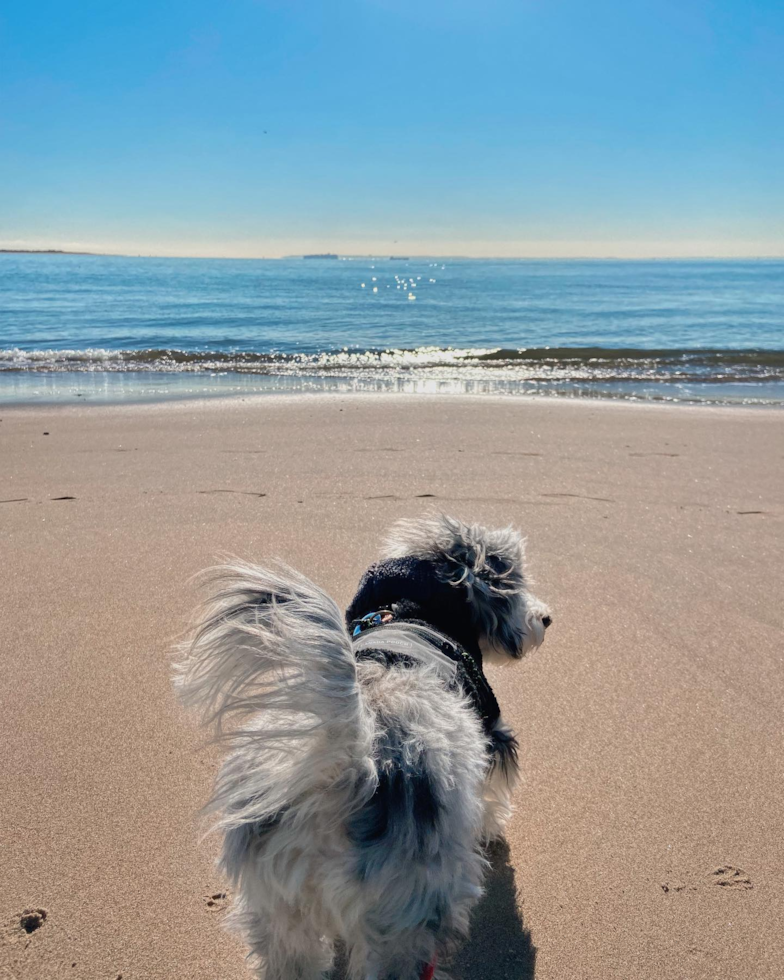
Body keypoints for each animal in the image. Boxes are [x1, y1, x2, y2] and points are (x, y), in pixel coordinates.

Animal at [175, 512, 552, 980]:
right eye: (517, 585)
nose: (546, 619)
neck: (412, 610)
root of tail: (345, 773)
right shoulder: (492, 729)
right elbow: (494, 793)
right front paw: (492, 828)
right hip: (409, 911)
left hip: (278, 907)